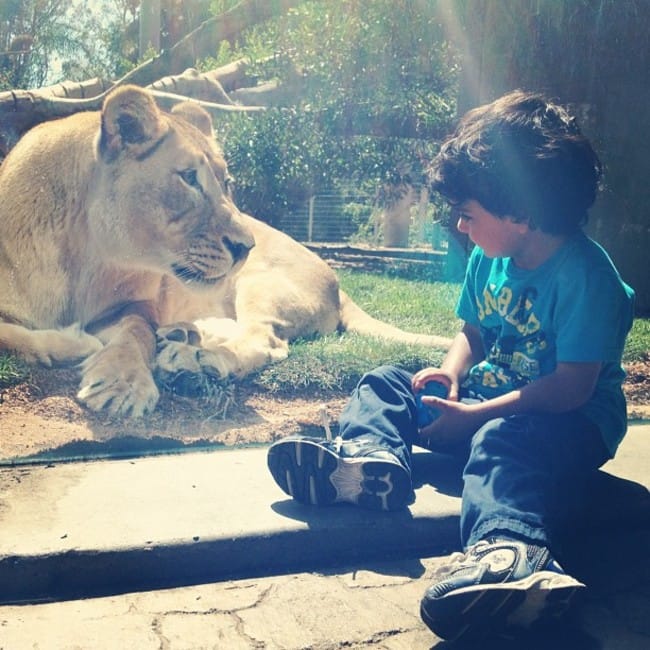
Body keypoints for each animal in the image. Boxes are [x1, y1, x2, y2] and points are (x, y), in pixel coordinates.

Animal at [0, 84, 451, 418]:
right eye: (188, 178)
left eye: (226, 181)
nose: (245, 245)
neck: (85, 253)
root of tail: (338, 282)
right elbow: (9, 335)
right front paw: (78, 345)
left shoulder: (134, 305)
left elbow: (135, 333)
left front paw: (121, 382)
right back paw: (187, 334)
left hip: (259, 283)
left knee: (266, 339)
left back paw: (195, 355)